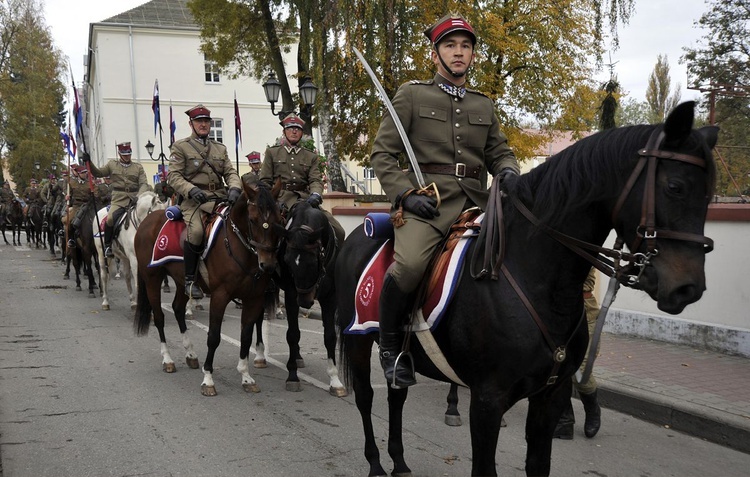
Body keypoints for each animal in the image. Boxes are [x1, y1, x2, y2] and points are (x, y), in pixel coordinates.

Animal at [132, 178, 284, 394]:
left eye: (279, 220)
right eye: (253, 220)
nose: (268, 265)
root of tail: (147, 220)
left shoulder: (254, 298)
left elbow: (246, 336)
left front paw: (246, 377)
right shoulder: (220, 296)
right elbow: (213, 337)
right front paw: (208, 379)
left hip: (182, 281)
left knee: (178, 308)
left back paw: (191, 354)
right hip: (152, 279)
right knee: (159, 318)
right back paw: (168, 360)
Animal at [338, 102, 720, 474]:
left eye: (709, 194)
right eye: (675, 187)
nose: (687, 288)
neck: (536, 277)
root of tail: (359, 232)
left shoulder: (549, 396)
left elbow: (538, 464)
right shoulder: (487, 401)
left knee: (396, 395)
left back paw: (400, 462)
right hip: (359, 340)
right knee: (366, 397)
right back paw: (376, 463)